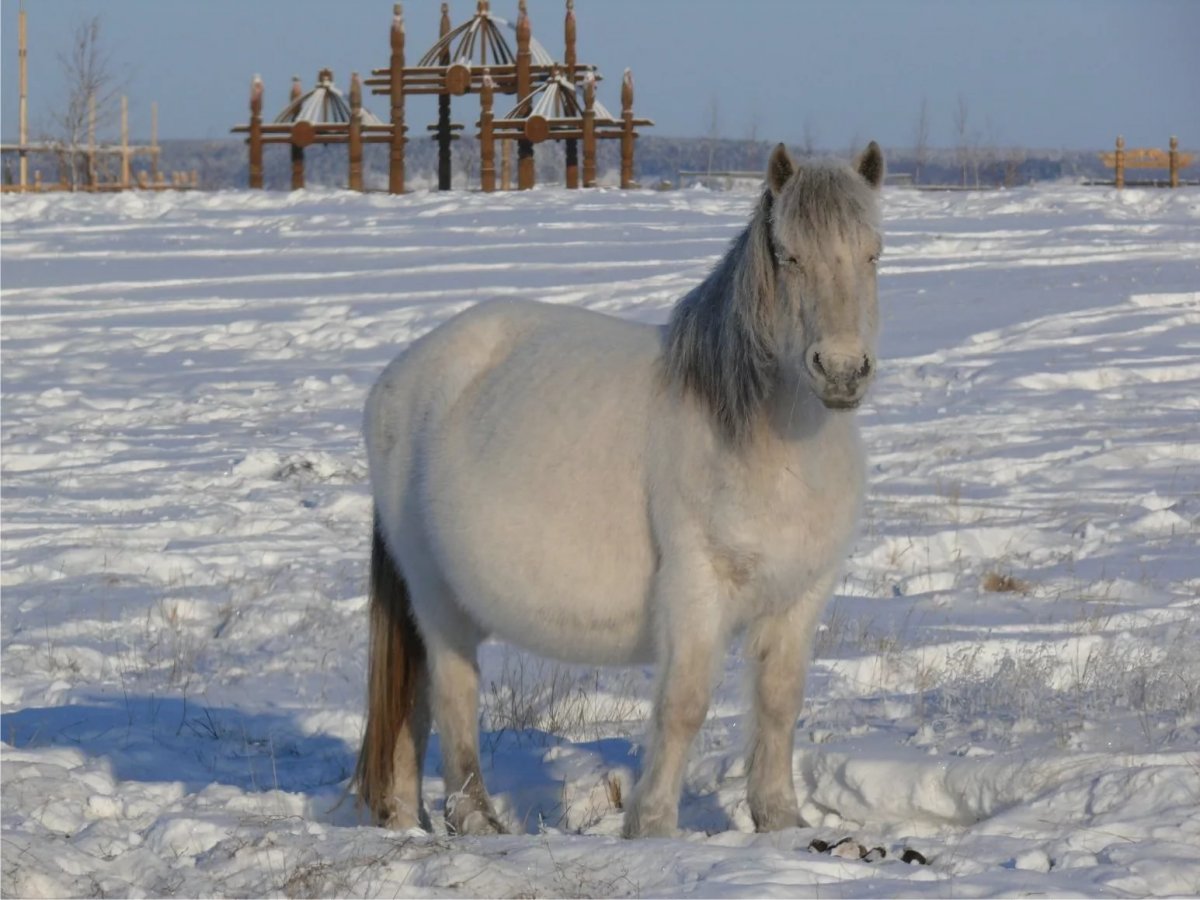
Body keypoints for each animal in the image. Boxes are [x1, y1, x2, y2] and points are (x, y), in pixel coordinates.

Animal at [354, 141, 885, 838]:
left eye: (875, 251)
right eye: (789, 255)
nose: (843, 371)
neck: (769, 446)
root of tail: (399, 379)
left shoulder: (801, 595)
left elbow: (779, 701)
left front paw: (780, 821)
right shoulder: (695, 586)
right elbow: (684, 703)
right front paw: (653, 824)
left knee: (411, 705)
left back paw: (402, 818)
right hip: (436, 597)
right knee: (451, 694)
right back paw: (477, 819)